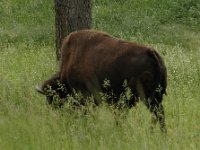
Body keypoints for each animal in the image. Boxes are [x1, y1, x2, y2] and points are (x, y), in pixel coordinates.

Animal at [36, 29, 167, 132]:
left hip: (147, 98)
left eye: (52, 98)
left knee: (156, 115)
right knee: (159, 115)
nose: (57, 116)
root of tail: (150, 52)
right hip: (156, 96)